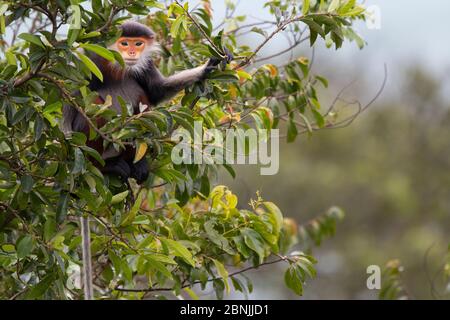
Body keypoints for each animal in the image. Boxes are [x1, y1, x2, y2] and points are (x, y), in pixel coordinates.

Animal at [64, 20, 232, 182]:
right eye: (125, 43)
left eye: (138, 43)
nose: (132, 52)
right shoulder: (96, 58)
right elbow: (75, 92)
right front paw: (66, 134)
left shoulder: (147, 65)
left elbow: (157, 91)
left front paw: (210, 65)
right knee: (96, 106)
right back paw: (104, 166)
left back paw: (137, 165)